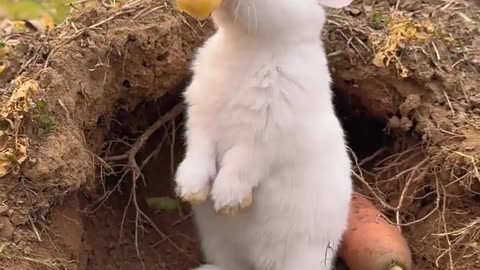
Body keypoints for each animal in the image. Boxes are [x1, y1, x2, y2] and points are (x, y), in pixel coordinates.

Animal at [174, 0, 354, 270]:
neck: (247, 45)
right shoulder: (200, 121)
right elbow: (199, 152)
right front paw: (191, 190)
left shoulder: (265, 139)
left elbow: (239, 165)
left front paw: (227, 200)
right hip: (220, 245)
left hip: (302, 255)